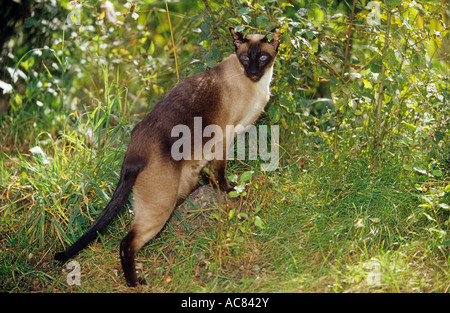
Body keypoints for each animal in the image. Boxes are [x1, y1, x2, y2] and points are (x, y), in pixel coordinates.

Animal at [54, 27, 280, 286]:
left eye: (262, 58)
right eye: (245, 58)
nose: (253, 72)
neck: (257, 85)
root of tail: (133, 152)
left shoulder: (210, 148)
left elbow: (209, 171)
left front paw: (212, 184)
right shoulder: (225, 136)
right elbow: (221, 171)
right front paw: (229, 189)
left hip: (179, 187)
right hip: (161, 206)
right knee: (126, 243)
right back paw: (135, 283)